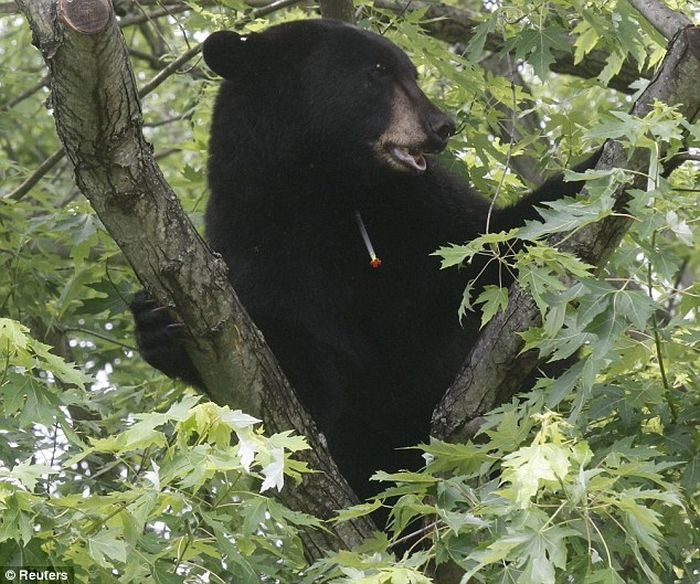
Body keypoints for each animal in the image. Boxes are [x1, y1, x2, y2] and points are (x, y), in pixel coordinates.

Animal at [132, 19, 599, 505]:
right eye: (377, 72)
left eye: (411, 73)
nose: (442, 125)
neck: (333, 192)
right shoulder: (257, 242)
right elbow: (288, 380)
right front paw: (156, 325)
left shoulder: (425, 212)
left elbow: (495, 244)